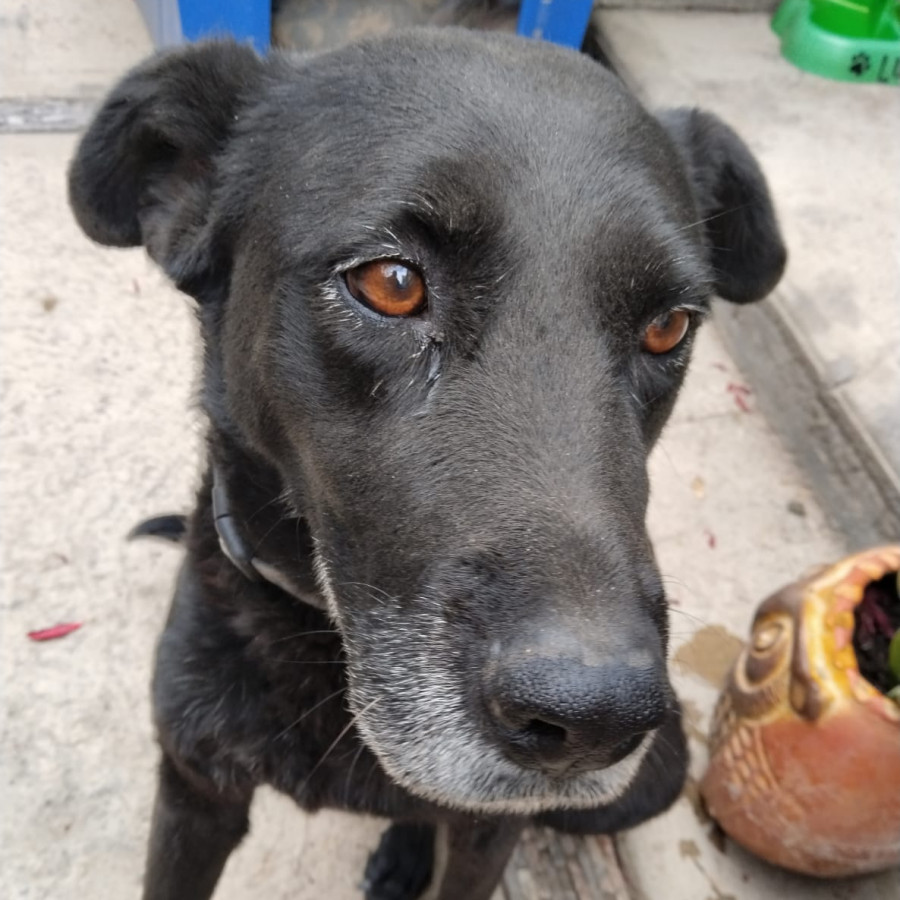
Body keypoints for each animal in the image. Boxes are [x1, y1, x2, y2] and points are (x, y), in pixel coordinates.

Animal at [68, 24, 780, 900]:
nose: (593, 719)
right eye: (392, 283)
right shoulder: (193, 790)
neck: (323, 646)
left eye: (669, 327)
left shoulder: (489, 834)